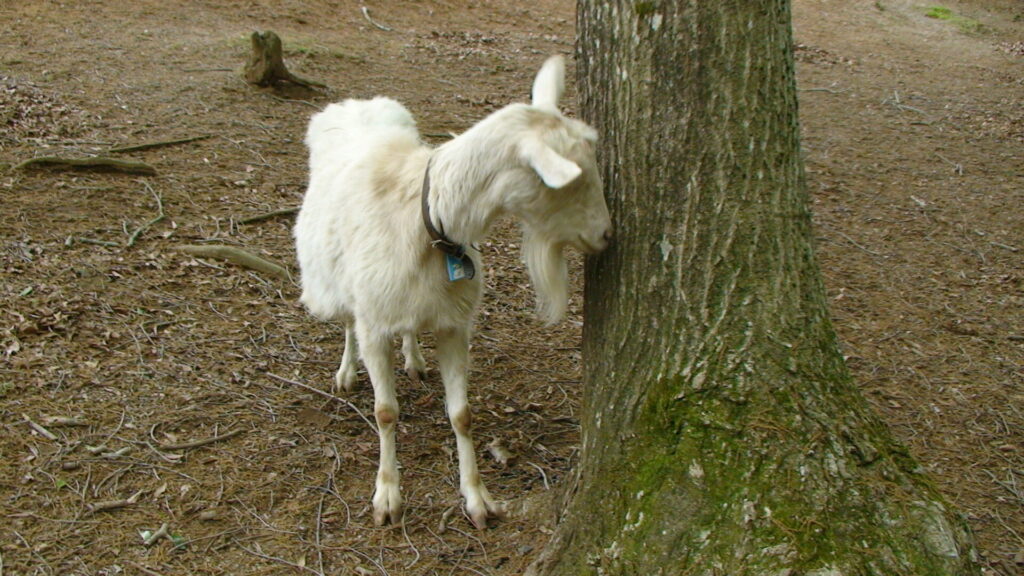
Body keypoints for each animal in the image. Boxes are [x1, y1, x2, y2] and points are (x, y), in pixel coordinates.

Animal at [292, 56, 606, 528]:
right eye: (571, 182)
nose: (606, 235)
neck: (428, 217)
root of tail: (356, 103)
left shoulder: (454, 323)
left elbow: (461, 414)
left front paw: (477, 497)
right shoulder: (374, 321)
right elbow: (385, 412)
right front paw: (387, 495)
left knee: (408, 326)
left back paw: (414, 360)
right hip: (335, 277)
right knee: (346, 321)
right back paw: (347, 371)